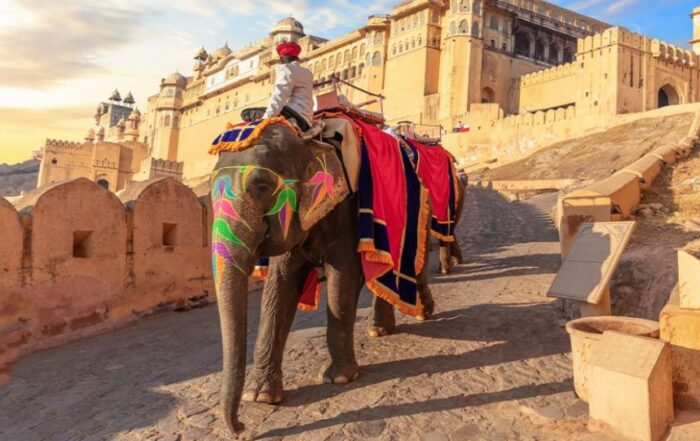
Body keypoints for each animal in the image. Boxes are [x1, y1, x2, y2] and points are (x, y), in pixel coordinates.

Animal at [209, 122, 434, 435]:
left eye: (262, 186)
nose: (240, 427)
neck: (307, 141)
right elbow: (279, 286)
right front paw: (261, 396)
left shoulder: (346, 208)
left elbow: (343, 278)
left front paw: (338, 378)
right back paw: (380, 330)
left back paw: (422, 313)